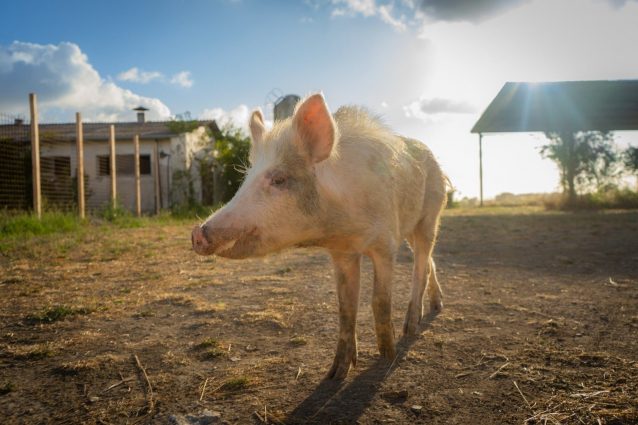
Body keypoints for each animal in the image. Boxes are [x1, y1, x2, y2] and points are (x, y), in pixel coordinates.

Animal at [192, 94, 448, 380]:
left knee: (421, 266)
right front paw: (334, 374)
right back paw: (436, 307)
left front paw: (386, 360)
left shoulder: (386, 244)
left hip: (430, 216)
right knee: (429, 261)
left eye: (279, 179)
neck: (342, 228)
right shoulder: (342, 254)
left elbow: (379, 302)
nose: (197, 232)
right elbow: (345, 308)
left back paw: (412, 328)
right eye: (246, 178)